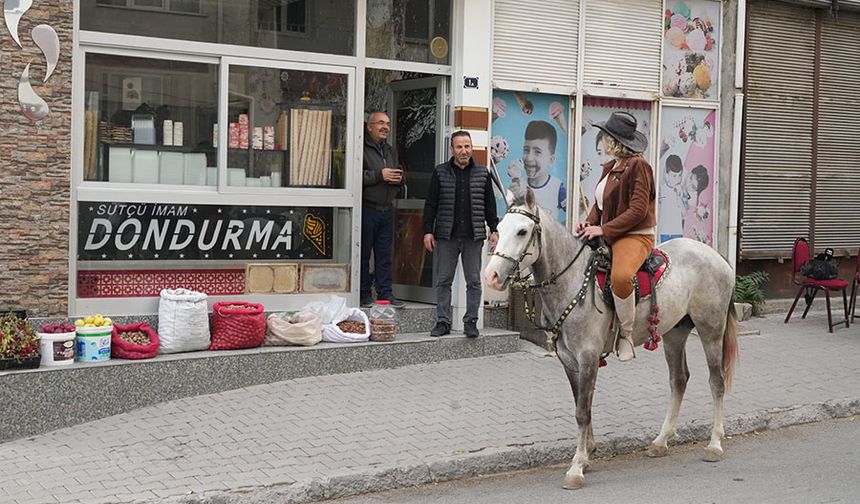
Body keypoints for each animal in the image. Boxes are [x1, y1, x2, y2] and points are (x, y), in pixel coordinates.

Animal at [484, 187, 740, 490]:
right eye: (499, 228)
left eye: (522, 231)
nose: (491, 276)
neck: (572, 281)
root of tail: (715, 255)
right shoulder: (569, 361)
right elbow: (582, 404)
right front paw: (586, 456)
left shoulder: (588, 357)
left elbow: (582, 411)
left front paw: (575, 468)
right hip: (674, 333)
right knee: (679, 380)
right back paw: (660, 441)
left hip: (711, 329)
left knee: (716, 381)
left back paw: (714, 444)